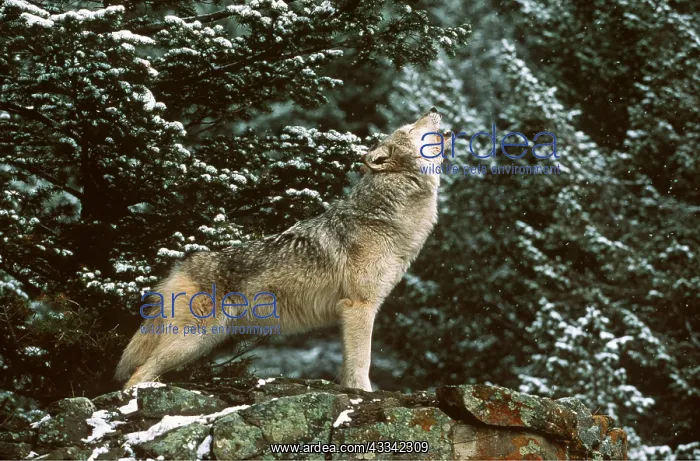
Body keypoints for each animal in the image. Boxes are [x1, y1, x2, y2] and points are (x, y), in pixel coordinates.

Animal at [115, 108, 446, 392]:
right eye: (409, 128)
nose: (433, 109)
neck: (385, 217)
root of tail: (179, 267)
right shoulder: (359, 307)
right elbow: (361, 364)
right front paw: (363, 394)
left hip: (202, 342)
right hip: (191, 341)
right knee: (136, 375)